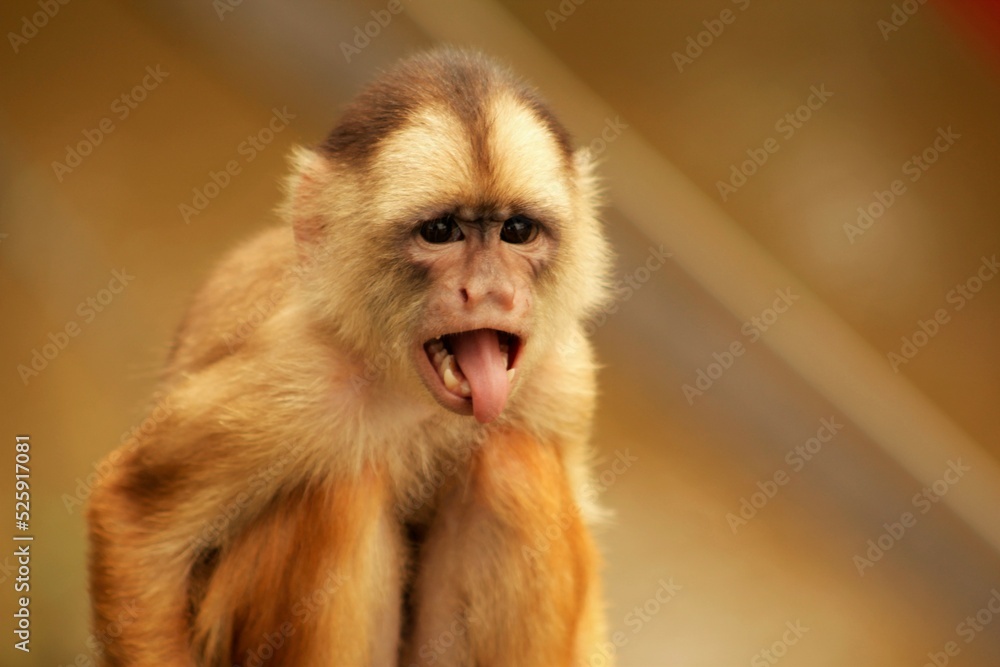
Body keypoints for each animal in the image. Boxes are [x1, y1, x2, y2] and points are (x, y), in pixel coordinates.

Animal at [87, 47, 613, 667]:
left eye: (517, 230)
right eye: (440, 231)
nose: (489, 291)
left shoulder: (565, 376)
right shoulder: (301, 370)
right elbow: (131, 521)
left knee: (511, 463)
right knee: (344, 488)